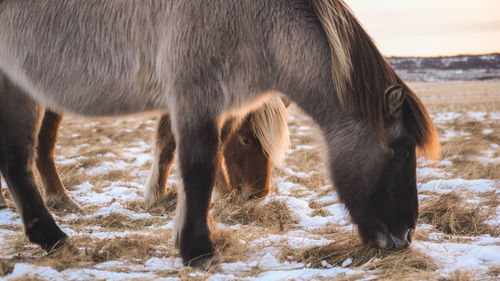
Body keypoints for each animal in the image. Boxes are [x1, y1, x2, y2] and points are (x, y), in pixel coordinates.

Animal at [0, 0, 438, 266]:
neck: (254, 20)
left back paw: (50, 236)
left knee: (16, 160)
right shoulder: (195, 98)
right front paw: (197, 249)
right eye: (401, 150)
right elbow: (198, 169)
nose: (405, 235)